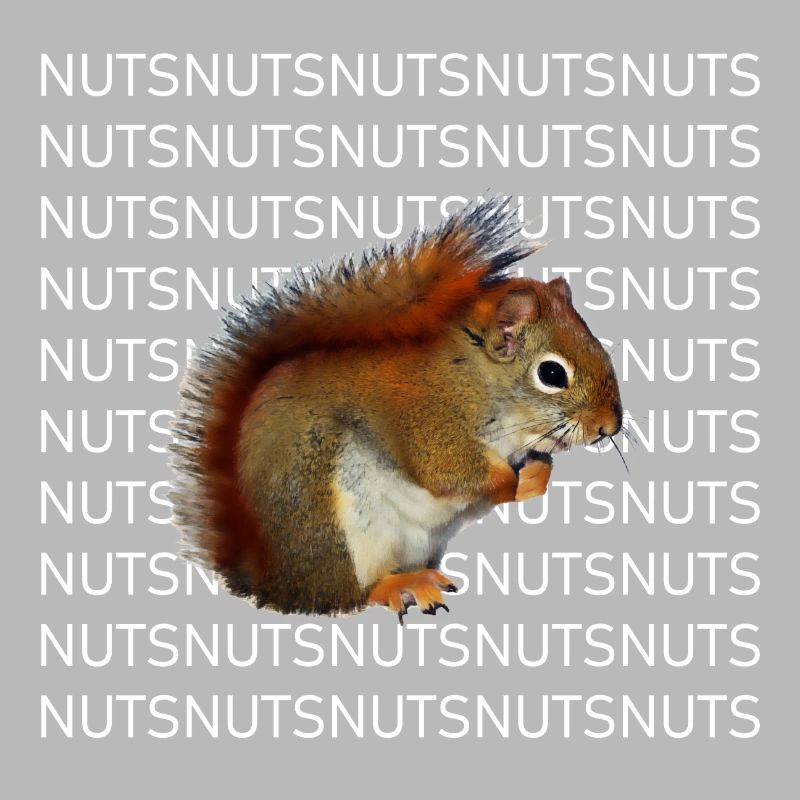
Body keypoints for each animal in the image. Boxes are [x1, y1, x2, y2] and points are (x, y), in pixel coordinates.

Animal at [170, 197, 622, 622]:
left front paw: (536, 477)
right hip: (332, 527)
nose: (610, 427)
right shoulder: (426, 418)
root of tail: (272, 581)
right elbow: (447, 471)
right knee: (349, 594)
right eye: (551, 373)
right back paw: (399, 586)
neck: (475, 379)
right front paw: (508, 481)